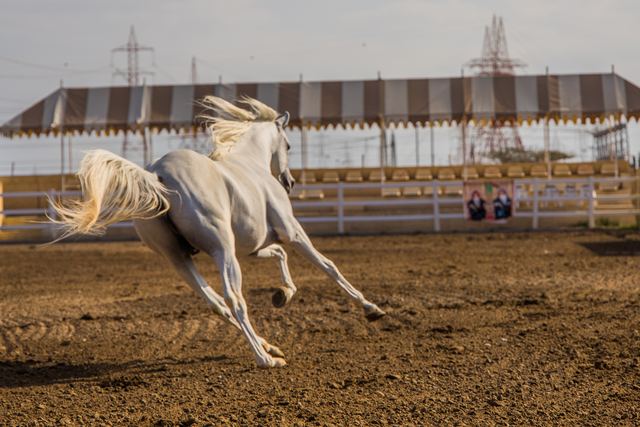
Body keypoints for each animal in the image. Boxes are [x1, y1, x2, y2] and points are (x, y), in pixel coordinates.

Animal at [50, 96, 386, 368]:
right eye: (289, 145)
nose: (289, 182)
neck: (251, 164)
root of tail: (157, 176)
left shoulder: (253, 247)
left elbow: (279, 255)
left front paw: (283, 294)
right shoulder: (291, 232)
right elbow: (328, 266)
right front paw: (371, 308)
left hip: (180, 259)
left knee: (216, 304)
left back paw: (269, 347)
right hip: (221, 251)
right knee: (234, 300)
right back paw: (265, 359)